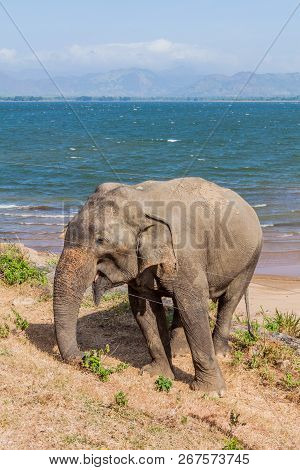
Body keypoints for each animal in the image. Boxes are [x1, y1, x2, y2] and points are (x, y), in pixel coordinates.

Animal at [54, 176, 262, 396]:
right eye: (67, 230)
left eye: (101, 240)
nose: (85, 355)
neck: (140, 196)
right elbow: (145, 309)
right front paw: (155, 374)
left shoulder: (187, 254)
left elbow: (193, 307)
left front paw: (211, 392)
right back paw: (179, 351)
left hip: (250, 258)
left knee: (230, 299)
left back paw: (220, 353)